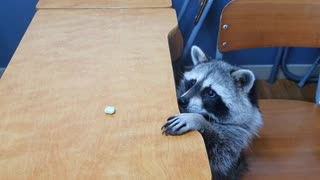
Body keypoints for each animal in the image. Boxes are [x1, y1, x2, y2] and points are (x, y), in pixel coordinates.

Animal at [161, 45, 264, 179]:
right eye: (193, 82)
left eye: (211, 93)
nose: (181, 101)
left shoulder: (239, 133)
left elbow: (220, 157)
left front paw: (197, 120)